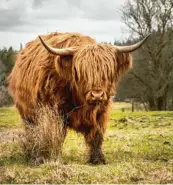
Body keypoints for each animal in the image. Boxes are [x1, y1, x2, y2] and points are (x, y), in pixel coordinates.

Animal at [8, 32, 150, 164]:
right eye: (82, 72)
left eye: (107, 71)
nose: (97, 95)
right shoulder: (53, 112)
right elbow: (56, 135)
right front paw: (54, 156)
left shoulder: (101, 112)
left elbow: (97, 135)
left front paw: (98, 159)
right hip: (28, 115)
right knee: (32, 132)